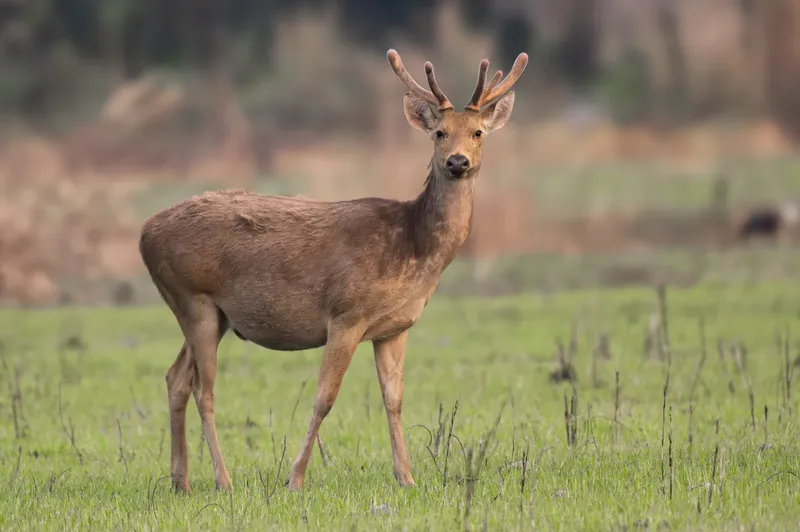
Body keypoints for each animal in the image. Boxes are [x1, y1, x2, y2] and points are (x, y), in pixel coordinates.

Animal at [138, 48, 528, 493]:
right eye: (439, 133)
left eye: (478, 132)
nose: (457, 162)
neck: (411, 249)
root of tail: (143, 233)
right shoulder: (346, 314)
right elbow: (325, 397)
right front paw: (294, 479)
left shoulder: (395, 328)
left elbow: (394, 399)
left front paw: (407, 477)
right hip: (193, 297)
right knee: (204, 390)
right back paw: (223, 480)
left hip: (210, 313)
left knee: (175, 379)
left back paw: (180, 480)